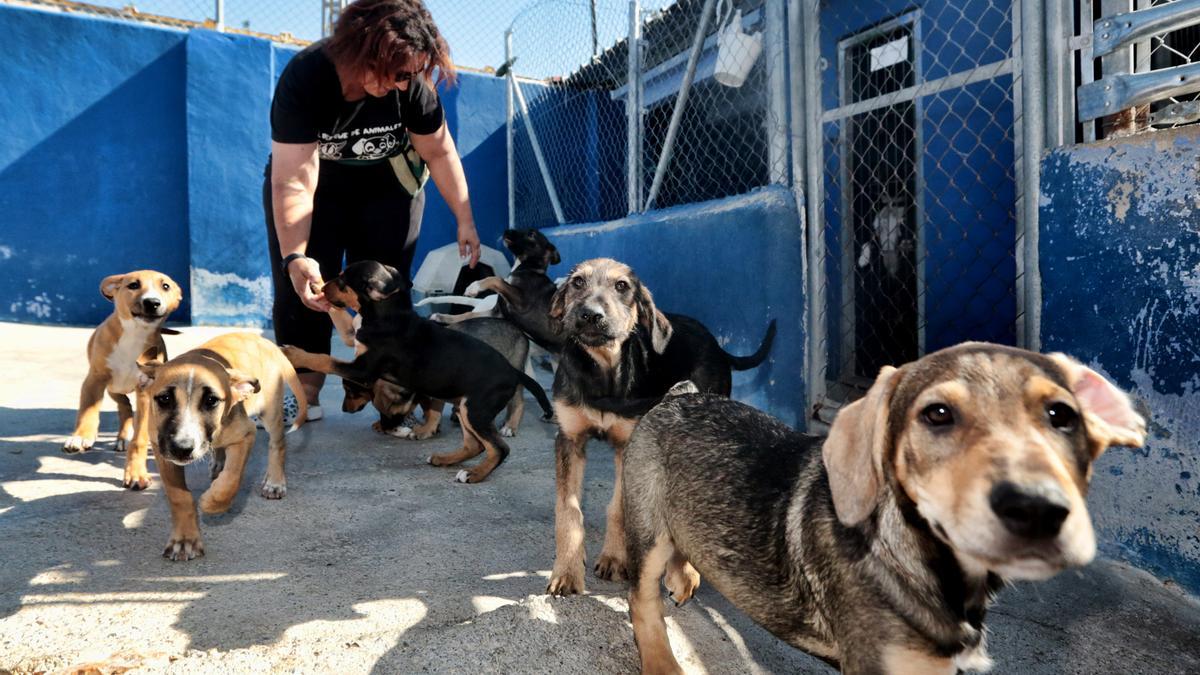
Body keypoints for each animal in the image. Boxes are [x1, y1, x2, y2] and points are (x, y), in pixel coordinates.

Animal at [63, 269, 182, 487]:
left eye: (165, 286)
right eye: (133, 285)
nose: (152, 302)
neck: (134, 334)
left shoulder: (146, 390)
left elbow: (140, 437)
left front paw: (136, 473)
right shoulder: (94, 379)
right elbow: (88, 410)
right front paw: (80, 437)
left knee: (127, 408)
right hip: (113, 389)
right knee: (124, 406)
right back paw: (121, 437)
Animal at [136, 329, 307, 557]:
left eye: (211, 401)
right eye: (164, 399)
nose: (182, 449)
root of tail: (264, 341)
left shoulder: (246, 434)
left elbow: (232, 477)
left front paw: (212, 503)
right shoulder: (161, 448)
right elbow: (178, 495)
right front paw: (184, 540)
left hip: (270, 411)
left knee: (277, 444)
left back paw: (274, 482)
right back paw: (218, 463)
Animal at [283, 258, 554, 482]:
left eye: (342, 281)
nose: (321, 288)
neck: (388, 315)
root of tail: (513, 371)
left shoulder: (363, 370)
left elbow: (324, 359)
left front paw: (294, 353)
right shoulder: (353, 339)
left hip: (476, 409)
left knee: (499, 448)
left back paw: (474, 474)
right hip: (465, 406)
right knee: (475, 445)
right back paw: (444, 459)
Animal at [547, 254, 777, 590]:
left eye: (622, 286)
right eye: (577, 282)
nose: (590, 315)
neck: (602, 370)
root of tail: (717, 345)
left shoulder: (629, 443)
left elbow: (619, 507)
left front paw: (614, 559)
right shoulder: (569, 438)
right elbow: (568, 509)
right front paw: (566, 571)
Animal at [624, 343, 1147, 667]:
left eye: (1061, 416)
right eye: (937, 415)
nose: (1037, 508)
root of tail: (680, 395)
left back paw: (684, 575)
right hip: (645, 525)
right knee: (641, 597)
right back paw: (661, 659)